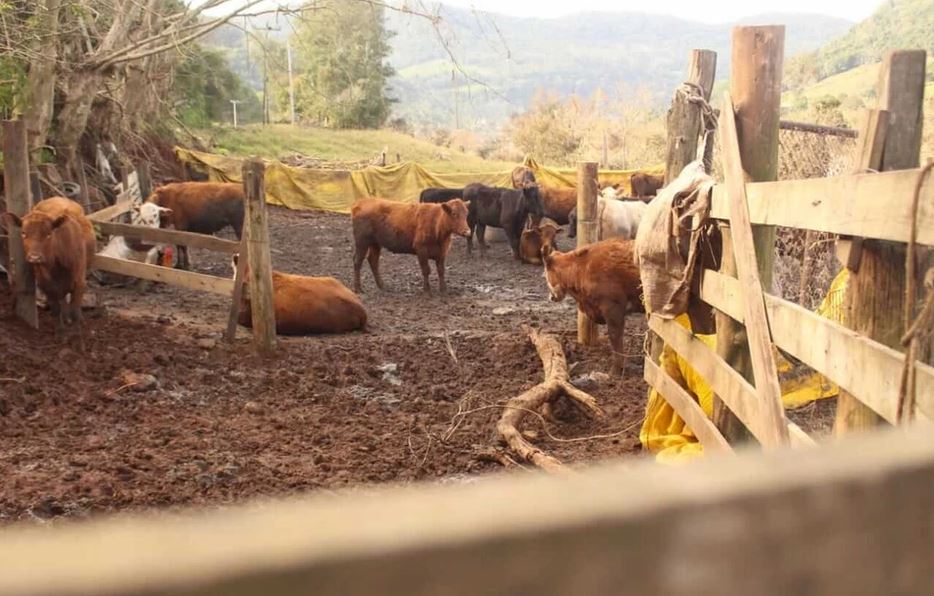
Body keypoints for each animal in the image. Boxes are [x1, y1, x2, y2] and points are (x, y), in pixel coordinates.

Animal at [1, 197, 96, 344]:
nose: (35, 257)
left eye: (48, 234)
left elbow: (75, 310)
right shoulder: (45, 285)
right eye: (24, 233)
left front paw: (77, 339)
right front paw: (60, 334)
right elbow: (56, 308)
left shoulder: (79, 282)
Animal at [540, 236, 644, 372]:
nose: (551, 297)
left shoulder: (613, 309)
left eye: (545, 275)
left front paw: (616, 369)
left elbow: (615, 337)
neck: (583, 267)